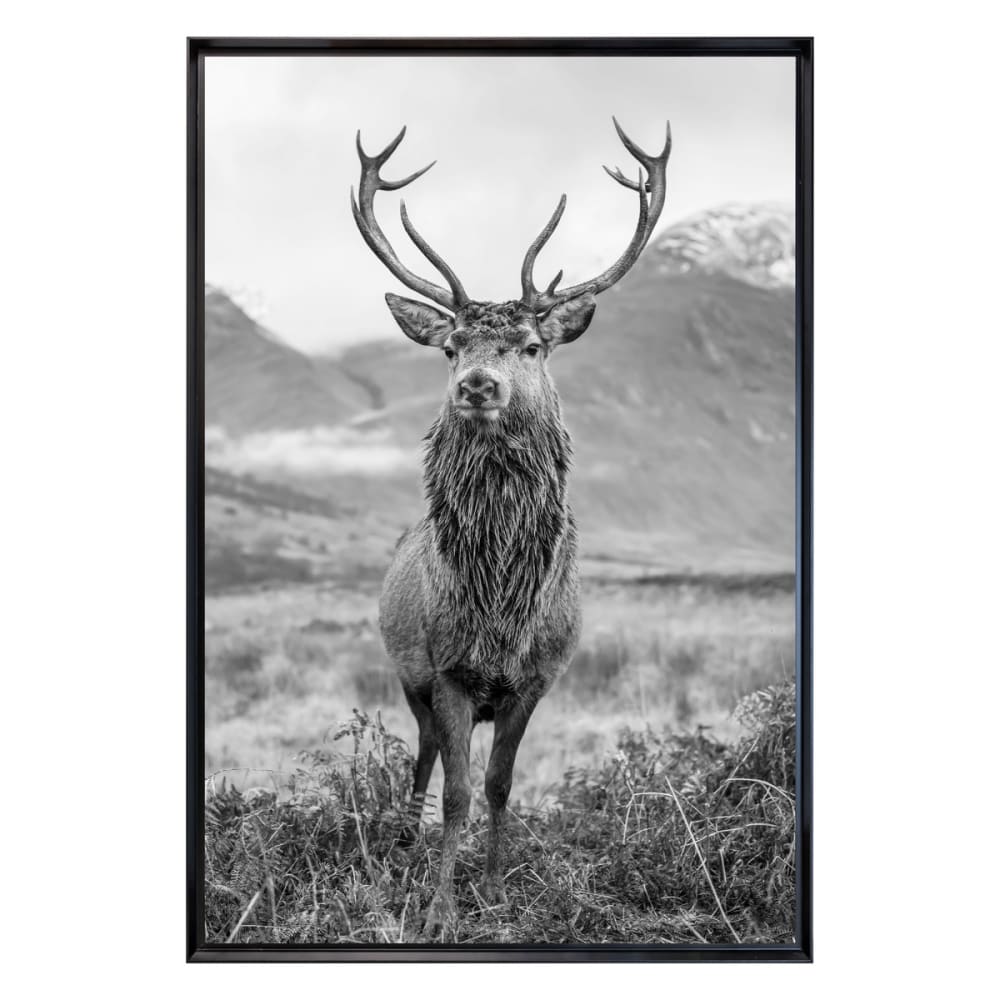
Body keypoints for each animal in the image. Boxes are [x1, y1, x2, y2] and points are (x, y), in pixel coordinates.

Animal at [350, 118, 671, 939]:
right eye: (450, 346)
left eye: (532, 345)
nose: (477, 385)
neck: (501, 606)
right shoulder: (449, 671)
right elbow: (458, 791)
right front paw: (439, 907)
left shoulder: (537, 678)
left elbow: (499, 784)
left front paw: (495, 890)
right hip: (408, 671)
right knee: (423, 756)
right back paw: (404, 844)